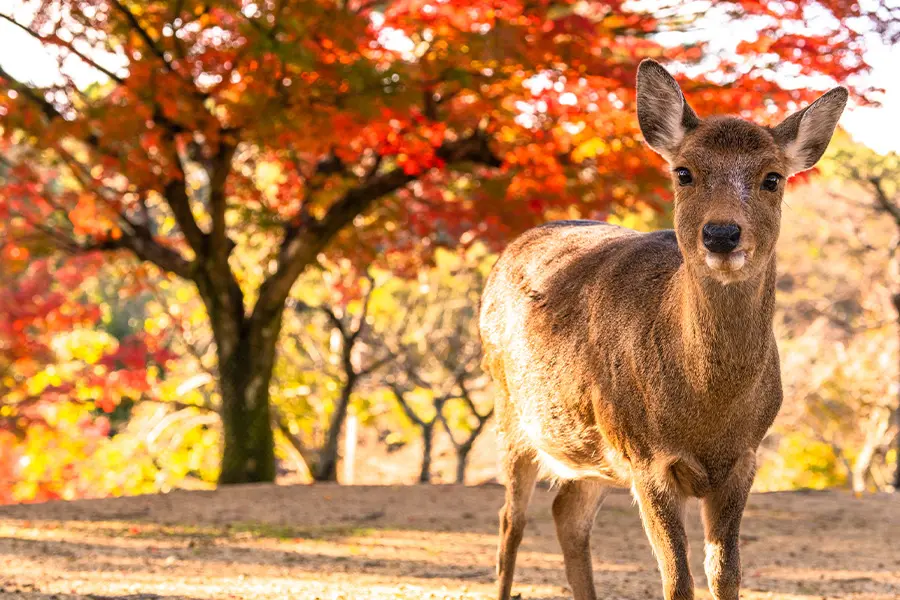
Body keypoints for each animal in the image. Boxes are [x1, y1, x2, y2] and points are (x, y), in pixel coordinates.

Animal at [482, 57, 848, 600]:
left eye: (772, 178)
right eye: (684, 172)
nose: (722, 233)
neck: (706, 414)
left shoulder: (744, 459)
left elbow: (726, 575)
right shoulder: (645, 456)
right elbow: (678, 580)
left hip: (591, 446)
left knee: (567, 514)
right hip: (511, 409)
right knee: (511, 520)